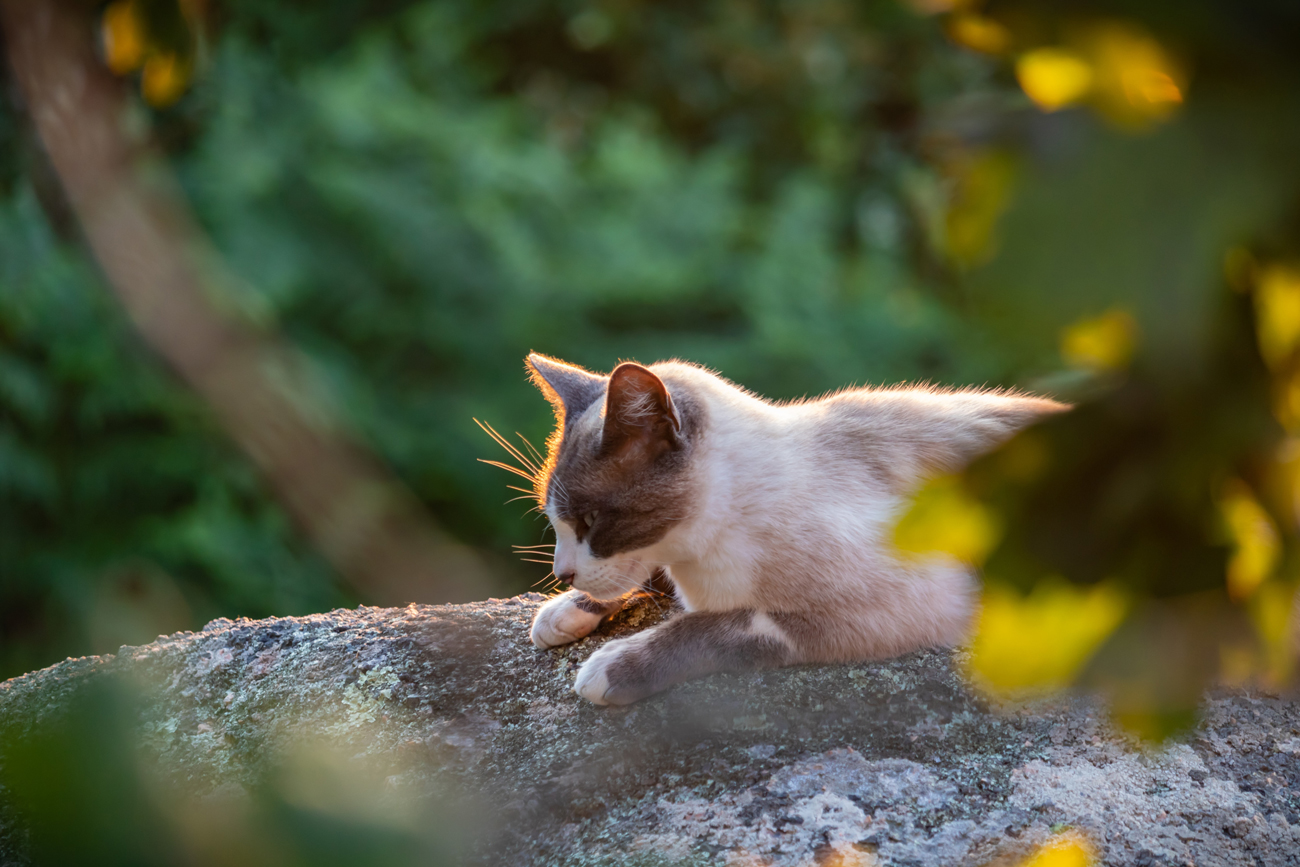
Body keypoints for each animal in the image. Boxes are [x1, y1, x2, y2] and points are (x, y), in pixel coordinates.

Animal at [509, 353, 1066, 707]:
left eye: (591, 520)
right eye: (555, 520)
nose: (563, 574)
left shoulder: (915, 600)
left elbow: (726, 622)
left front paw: (613, 666)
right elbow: (649, 577)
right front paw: (564, 612)